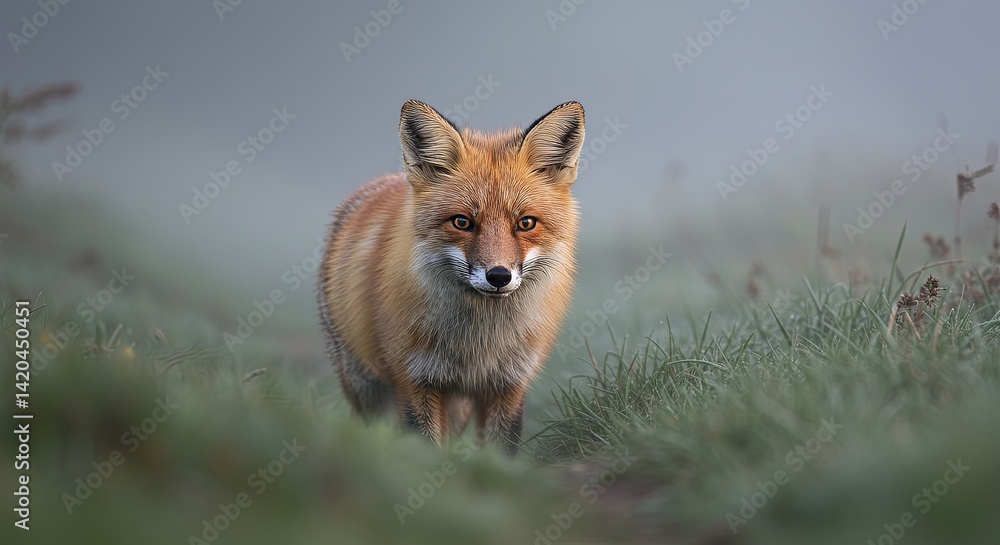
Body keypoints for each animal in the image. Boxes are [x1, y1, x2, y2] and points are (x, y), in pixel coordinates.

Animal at [318, 99, 585, 455]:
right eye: (462, 222)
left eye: (526, 223)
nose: (498, 276)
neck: (478, 345)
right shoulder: (416, 380)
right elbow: (424, 449)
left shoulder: (509, 384)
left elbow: (498, 455)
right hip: (366, 386)